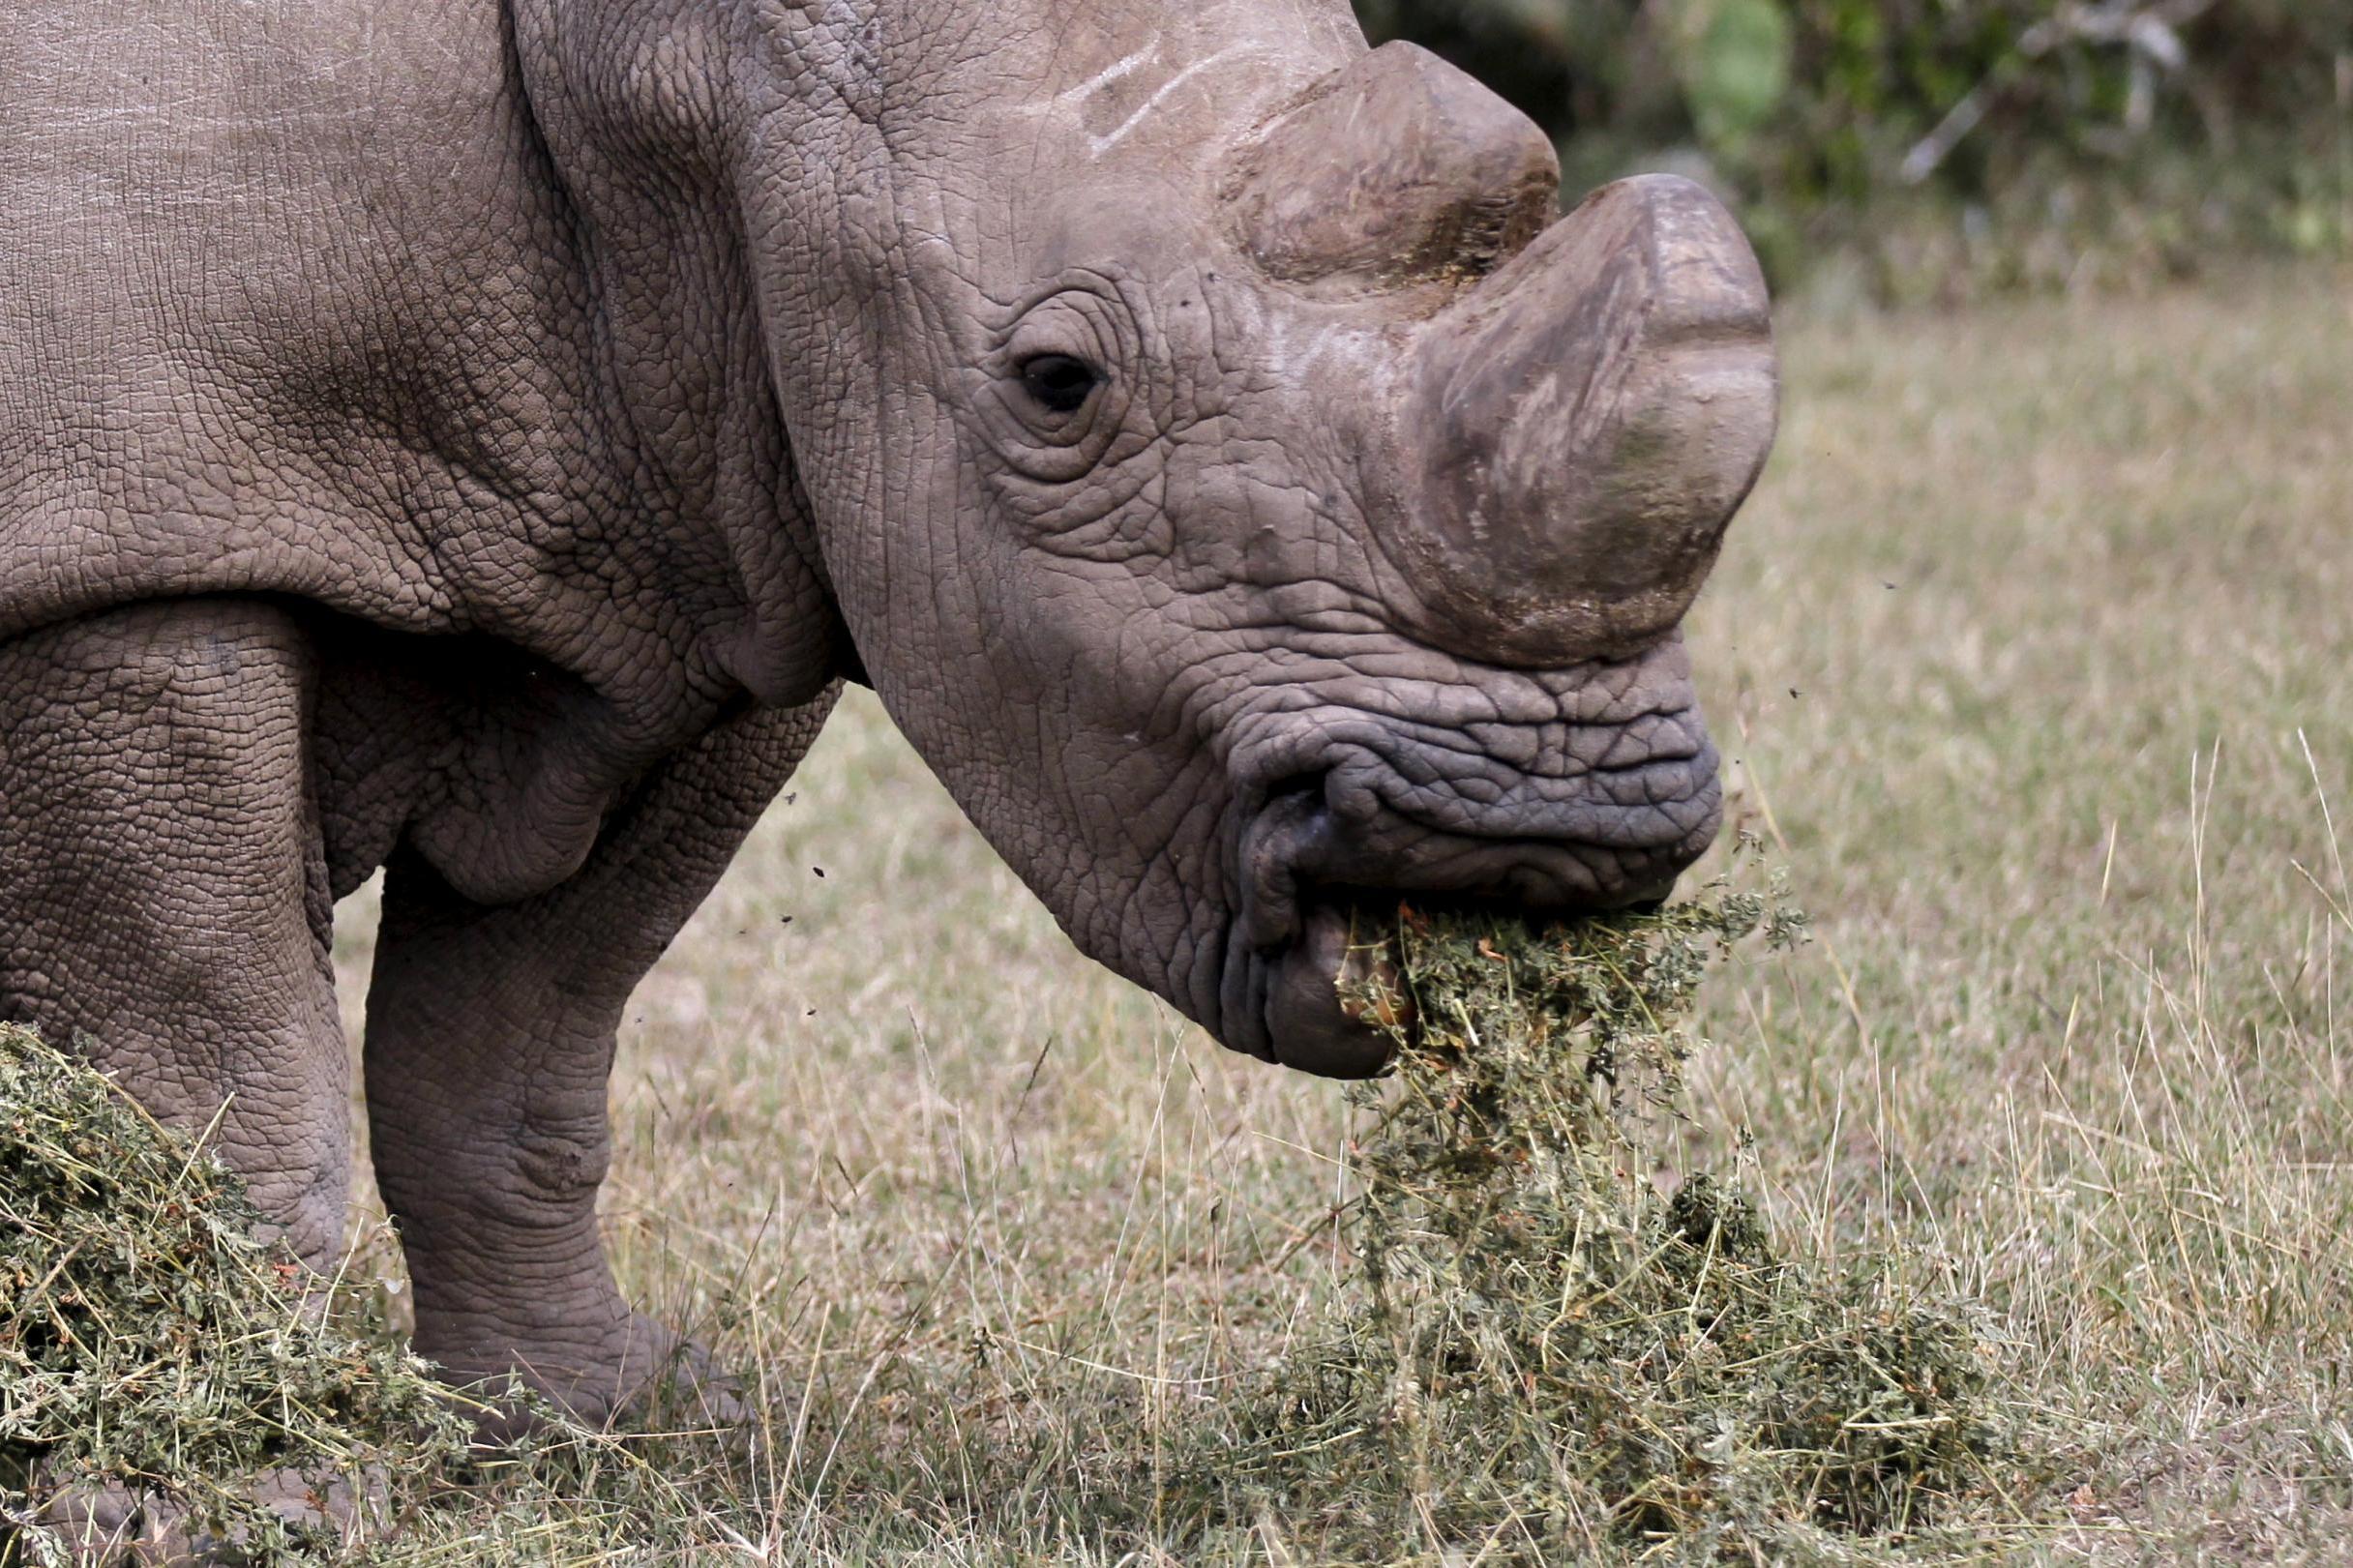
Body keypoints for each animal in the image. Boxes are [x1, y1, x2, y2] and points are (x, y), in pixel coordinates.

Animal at [0, 0, 1775, 1430]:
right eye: (1057, 383)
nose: (1546, 829)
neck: (687, 64)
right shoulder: (122, 547)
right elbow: (217, 1077)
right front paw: (246, 1454)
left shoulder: (701, 526)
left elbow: (517, 1045)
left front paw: (611, 1422)